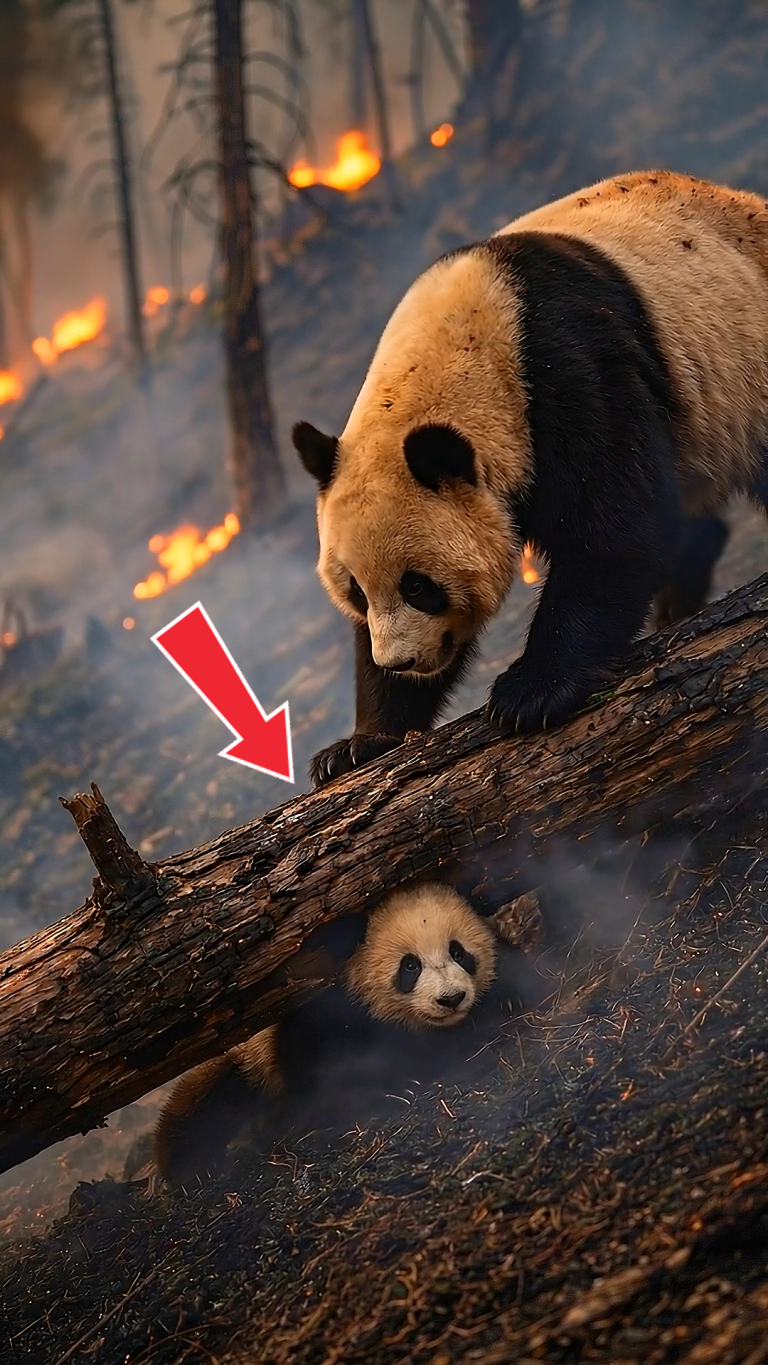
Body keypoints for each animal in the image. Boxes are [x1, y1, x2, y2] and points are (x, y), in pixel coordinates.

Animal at [153, 883, 532, 1185]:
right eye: (410, 965)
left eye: (458, 951)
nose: (451, 999)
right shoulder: (316, 1012)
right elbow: (317, 1075)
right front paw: (391, 1092)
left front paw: (507, 999)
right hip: (247, 1062)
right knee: (211, 1102)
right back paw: (192, 1167)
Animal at [292, 170, 768, 785]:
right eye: (355, 588)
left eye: (418, 585)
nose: (402, 662)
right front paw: (358, 744)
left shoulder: (572, 373)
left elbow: (615, 527)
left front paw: (530, 694)